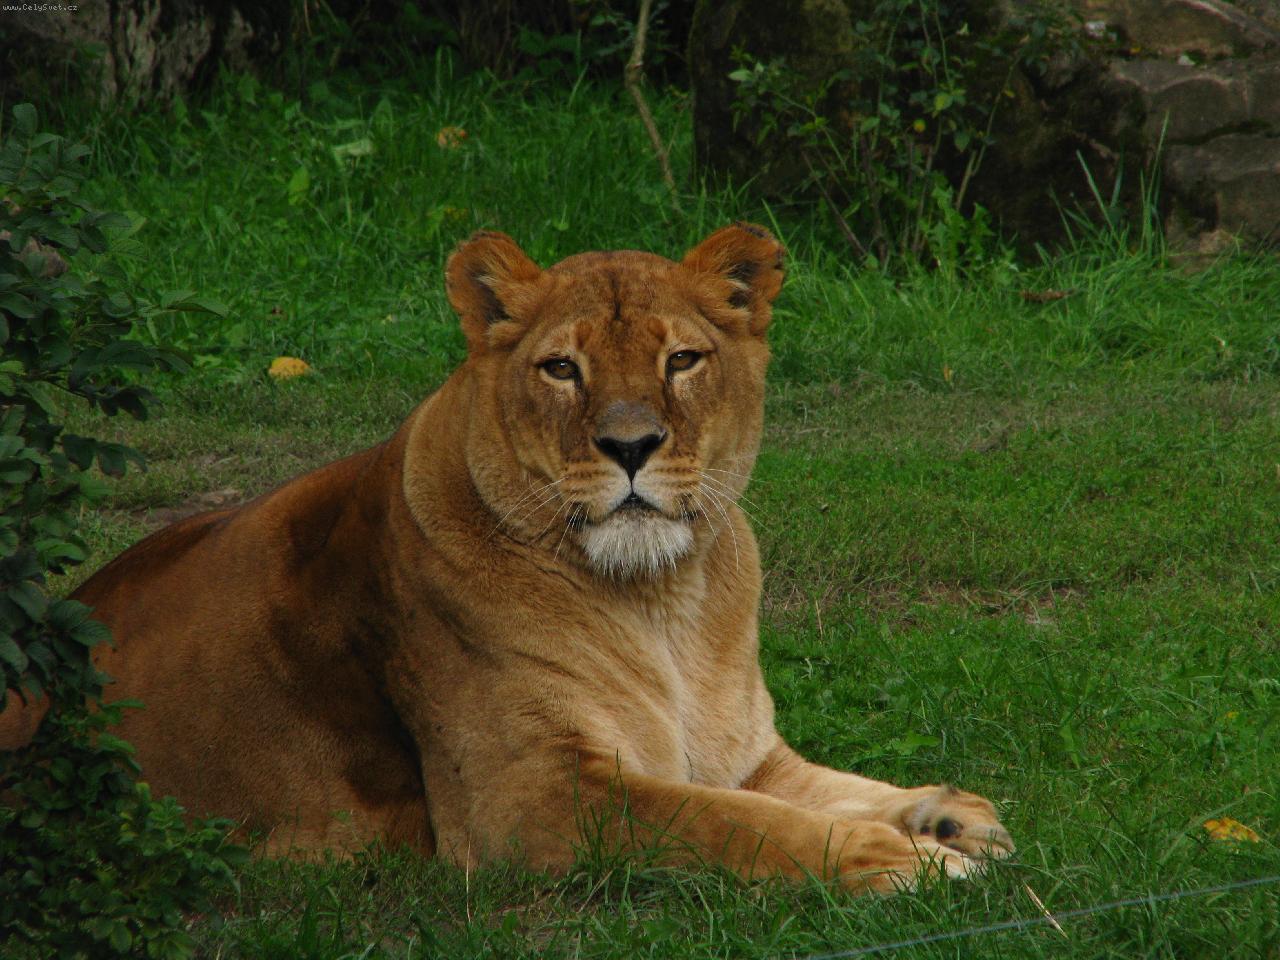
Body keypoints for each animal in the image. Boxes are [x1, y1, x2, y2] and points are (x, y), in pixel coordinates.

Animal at [0, 224, 1013, 892]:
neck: (666, 599)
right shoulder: (528, 798)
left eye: (682, 360)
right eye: (562, 369)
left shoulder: (744, 753)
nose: (631, 446)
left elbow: (824, 790)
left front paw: (947, 813)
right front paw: (901, 859)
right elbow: (735, 824)